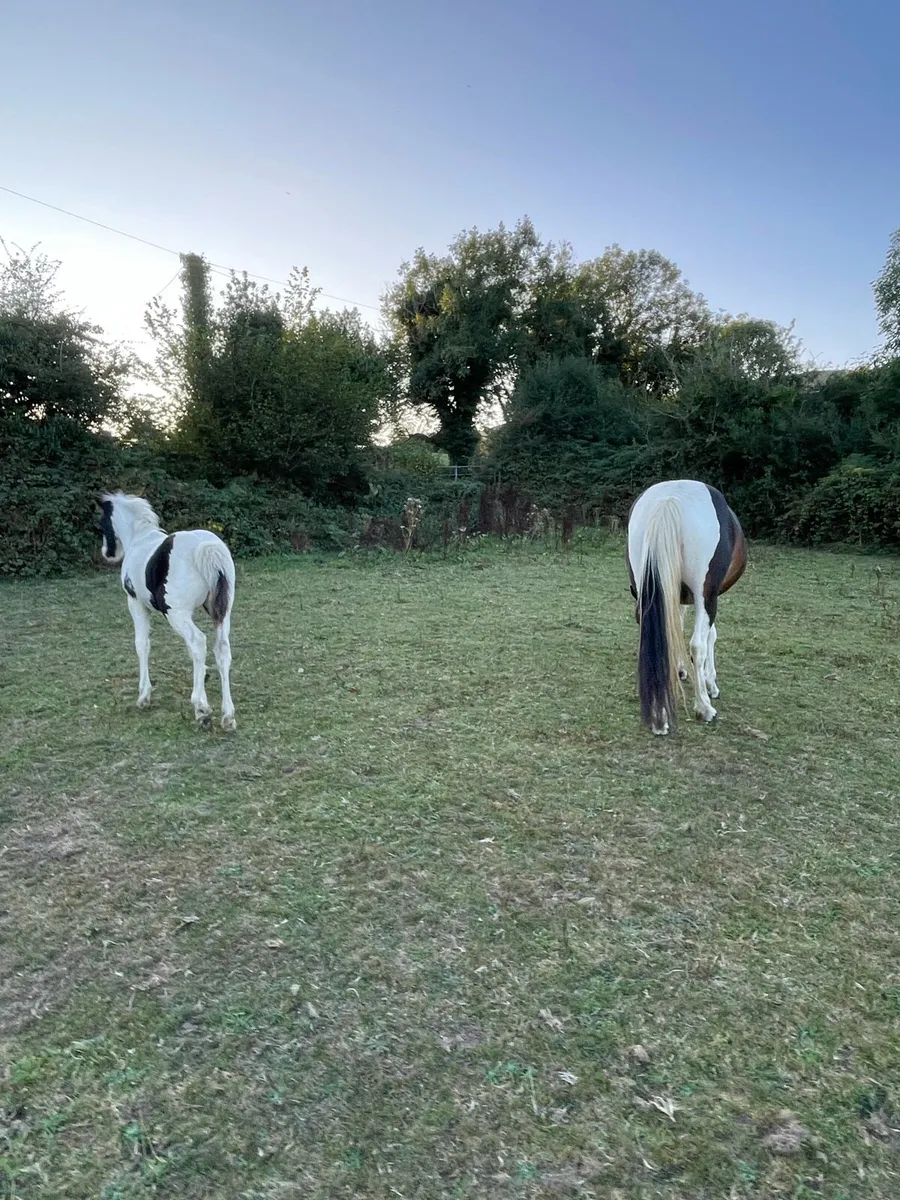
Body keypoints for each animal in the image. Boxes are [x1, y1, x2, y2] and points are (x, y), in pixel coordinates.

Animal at [97, 493, 237, 730]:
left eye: (101, 522)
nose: (107, 553)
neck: (139, 538)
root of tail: (206, 548)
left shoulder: (135, 603)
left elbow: (142, 644)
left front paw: (144, 696)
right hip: (221, 612)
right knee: (222, 649)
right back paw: (227, 716)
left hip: (176, 614)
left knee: (198, 641)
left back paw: (201, 709)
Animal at [626, 479, 746, 736]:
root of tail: (670, 498)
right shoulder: (709, 598)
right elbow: (710, 637)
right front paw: (711, 684)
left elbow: (675, 628)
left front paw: (679, 670)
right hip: (705, 596)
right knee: (697, 645)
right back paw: (704, 708)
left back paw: (659, 716)